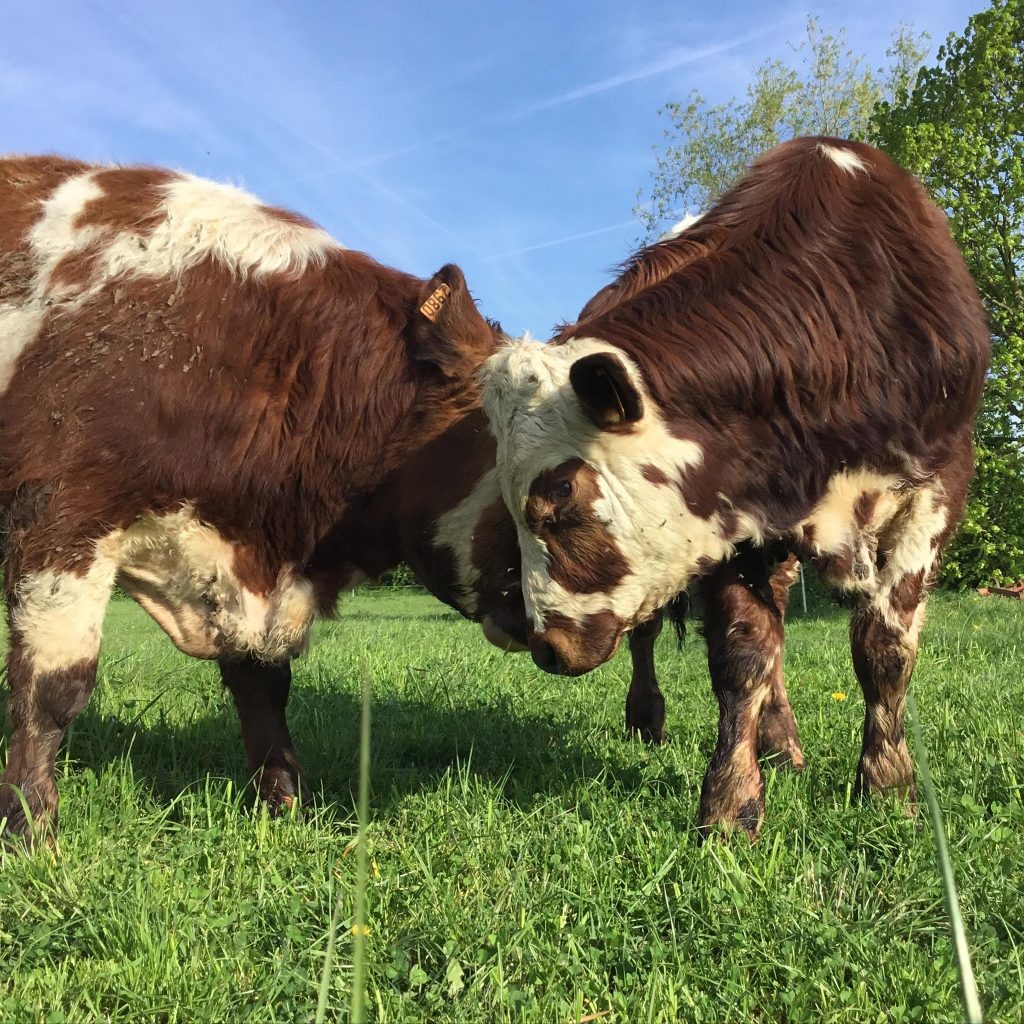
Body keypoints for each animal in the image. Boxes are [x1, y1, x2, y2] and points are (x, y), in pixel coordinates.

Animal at [481, 138, 991, 839]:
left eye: (560, 489)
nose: (545, 646)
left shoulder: (939, 487)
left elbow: (884, 649)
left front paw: (888, 786)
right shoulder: (730, 511)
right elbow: (744, 654)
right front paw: (730, 804)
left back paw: (782, 745)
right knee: (655, 633)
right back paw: (658, 720)